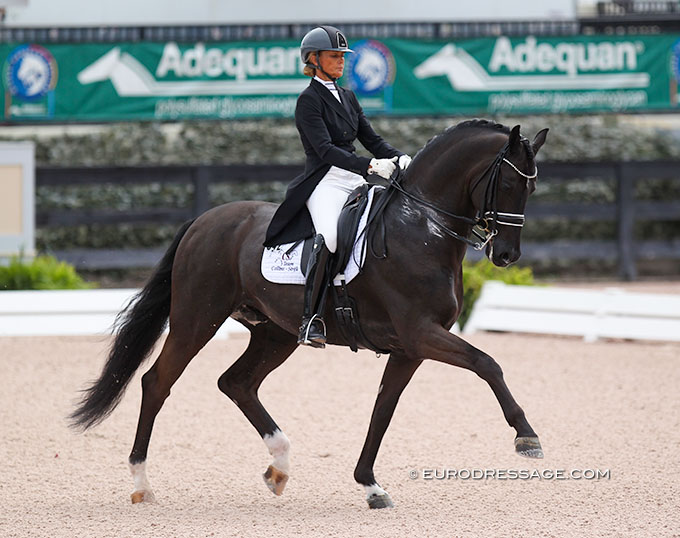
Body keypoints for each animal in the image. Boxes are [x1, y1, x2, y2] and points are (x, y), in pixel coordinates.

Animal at [70, 120, 548, 506]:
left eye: (531, 189)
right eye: (508, 183)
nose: (507, 255)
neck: (421, 227)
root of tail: (204, 220)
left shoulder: (409, 348)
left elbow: (383, 409)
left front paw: (370, 485)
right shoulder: (421, 333)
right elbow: (487, 363)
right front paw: (526, 437)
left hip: (276, 333)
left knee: (236, 383)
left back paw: (279, 467)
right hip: (196, 319)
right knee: (157, 382)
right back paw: (142, 485)